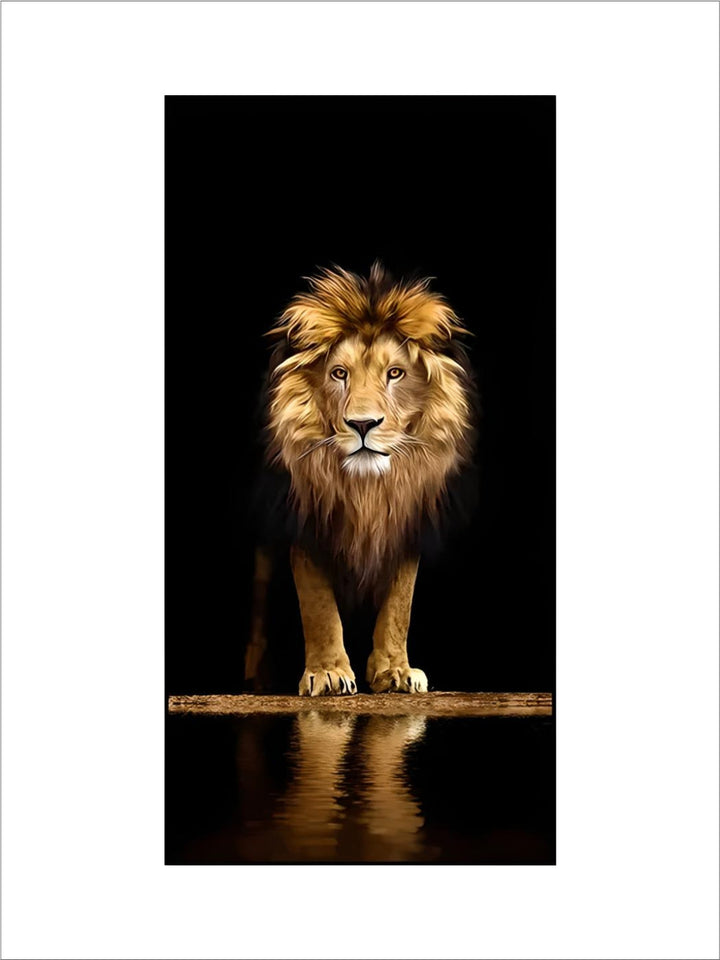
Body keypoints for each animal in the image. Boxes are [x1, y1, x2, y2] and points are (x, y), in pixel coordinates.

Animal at [246, 262, 477, 696]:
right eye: (339, 373)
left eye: (395, 373)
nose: (363, 424)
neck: (366, 488)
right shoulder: (305, 521)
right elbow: (317, 603)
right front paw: (328, 672)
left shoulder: (406, 522)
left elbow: (400, 604)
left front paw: (395, 671)